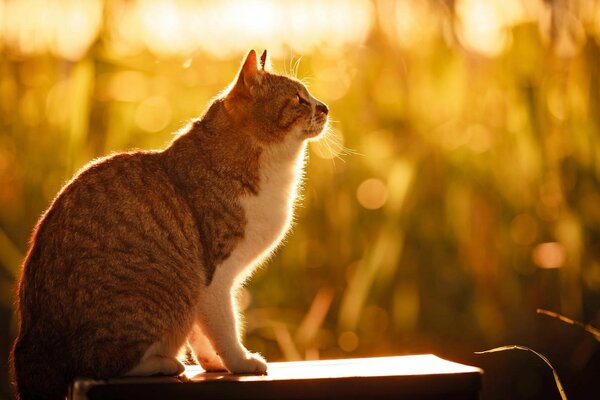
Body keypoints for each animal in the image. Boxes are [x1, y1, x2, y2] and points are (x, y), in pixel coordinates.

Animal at [9, 50, 328, 400]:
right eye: (298, 99)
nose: (325, 107)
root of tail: (30, 341)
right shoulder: (213, 277)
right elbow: (225, 326)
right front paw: (239, 362)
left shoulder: (208, 289)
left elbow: (203, 332)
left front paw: (214, 363)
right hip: (157, 297)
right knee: (103, 362)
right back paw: (164, 363)